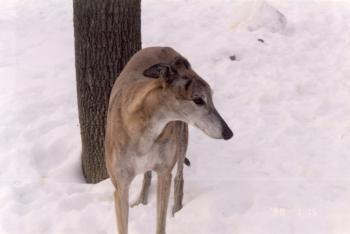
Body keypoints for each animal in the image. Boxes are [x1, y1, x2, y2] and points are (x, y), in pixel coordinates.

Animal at [105, 46, 234, 233]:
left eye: (211, 97)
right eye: (198, 99)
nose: (228, 133)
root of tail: (163, 47)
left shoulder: (164, 173)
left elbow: (161, 225)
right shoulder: (120, 187)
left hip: (181, 139)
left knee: (179, 178)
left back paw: (177, 210)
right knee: (147, 175)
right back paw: (142, 200)